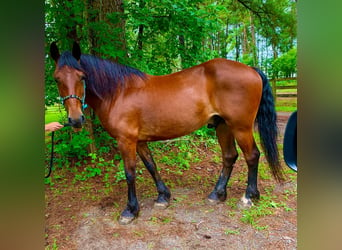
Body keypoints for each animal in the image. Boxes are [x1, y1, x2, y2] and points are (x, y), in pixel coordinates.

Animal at [48, 41, 284, 225]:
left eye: (82, 76)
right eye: (57, 78)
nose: (75, 119)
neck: (119, 92)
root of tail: (251, 69)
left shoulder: (126, 141)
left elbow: (130, 173)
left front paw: (130, 210)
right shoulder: (139, 141)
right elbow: (151, 166)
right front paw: (163, 196)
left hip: (240, 127)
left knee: (252, 156)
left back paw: (249, 197)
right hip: (223, 125)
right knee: (229, 156)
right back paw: (217, 195)